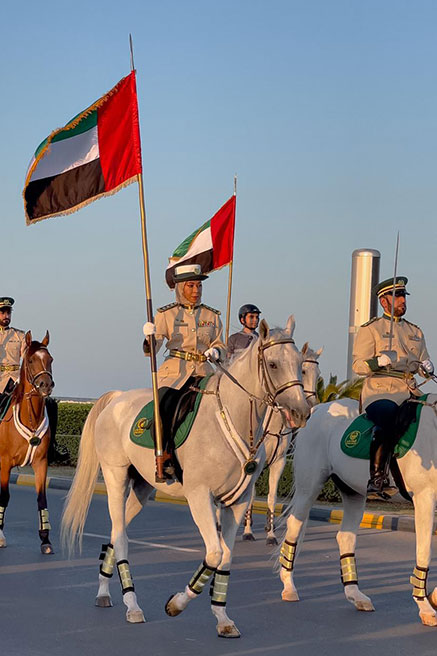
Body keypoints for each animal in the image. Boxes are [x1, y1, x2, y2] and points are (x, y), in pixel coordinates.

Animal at [61, 316, 308, 640]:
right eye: (274, 363)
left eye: (300, 363)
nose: (301, 412)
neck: (231, 419)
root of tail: (117, 399)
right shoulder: (199, 496)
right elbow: (214, 553)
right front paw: (176, 604)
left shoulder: (237, 502)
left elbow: (225, 558)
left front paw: (222, 617)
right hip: (115, 477)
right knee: (122, 538)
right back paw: (132, 605)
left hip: (142, 489)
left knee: (116, 533)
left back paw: (104, 592)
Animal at [240, 346, 322, 544]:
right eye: (303, 370)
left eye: (319, 374)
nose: (311, 405)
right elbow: (250, 494)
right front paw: (248, 531)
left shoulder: (279, 462)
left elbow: (272, 497)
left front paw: (270, 533)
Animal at [276, 392, 437, 628]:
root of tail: (319, 409)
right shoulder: (424, 496)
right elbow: (424, 551)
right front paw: (426, 607)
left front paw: (433, 598)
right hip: (309, 485)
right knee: (294, 525)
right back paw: (288, 587)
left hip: (352, 492)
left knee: (345, 537)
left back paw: (356, 595)